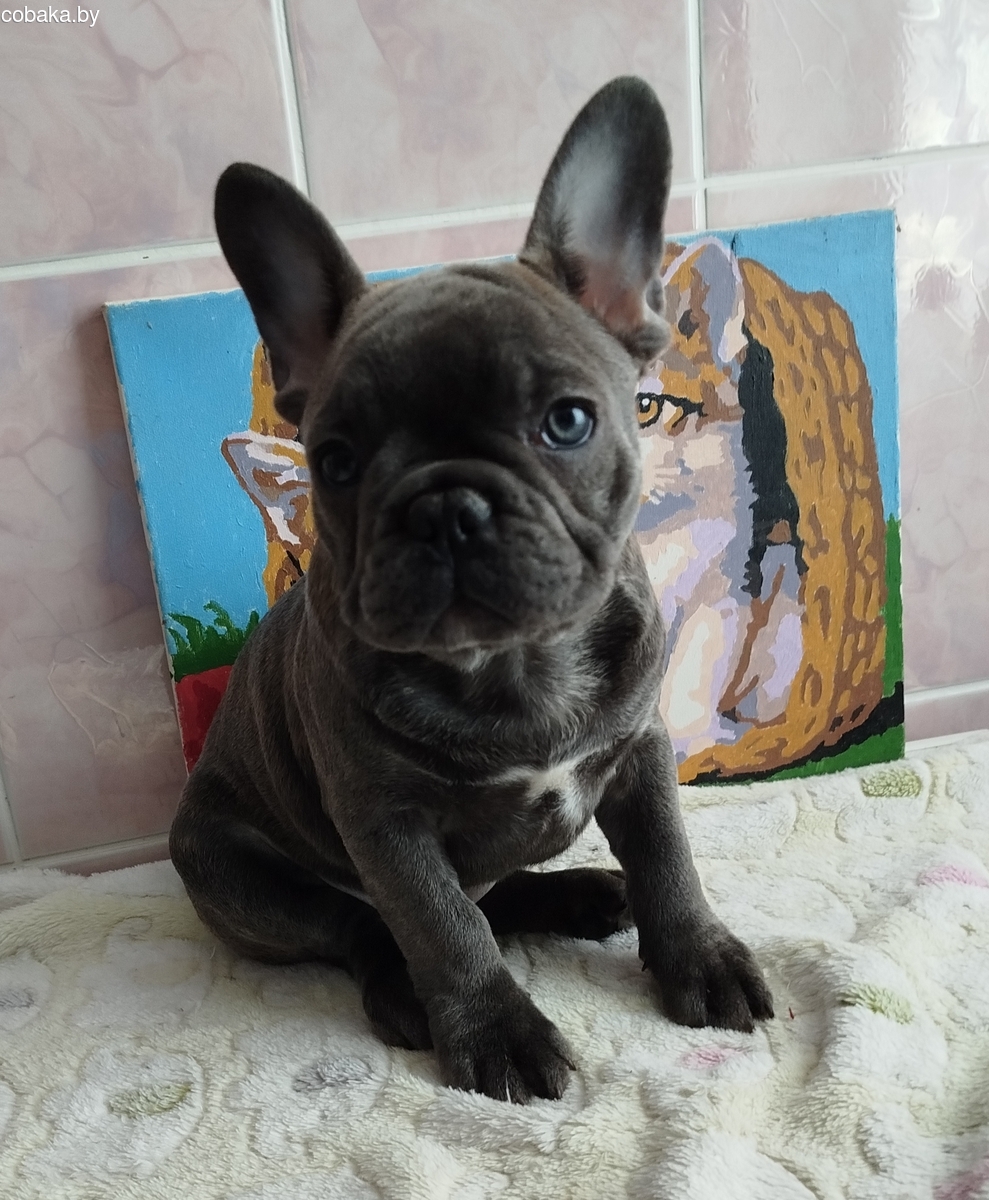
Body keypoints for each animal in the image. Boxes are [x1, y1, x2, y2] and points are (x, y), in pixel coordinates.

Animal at [169, 76, 773, 1105]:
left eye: (567, 421)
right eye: (335, 461)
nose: (445, 506)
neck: (514, 665)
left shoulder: (642, 752)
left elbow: (668, 861)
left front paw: (698, 955)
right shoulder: (387, 827)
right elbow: (440, 927)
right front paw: (496, 1031)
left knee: (499, 894)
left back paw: (580, 892)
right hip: (228, 868)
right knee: (372, 927)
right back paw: (410, 991)